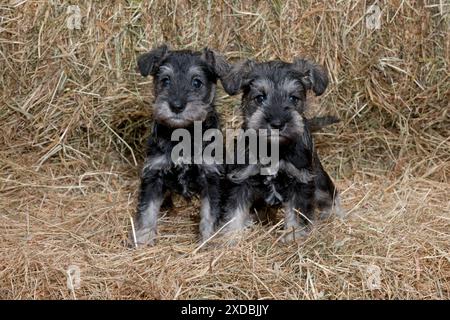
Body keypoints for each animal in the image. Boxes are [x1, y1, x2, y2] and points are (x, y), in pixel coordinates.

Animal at [130, 44, 229, 245]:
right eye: (165, 80)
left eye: (197, 82)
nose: (176, 106)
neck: (183, 133)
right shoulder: (154, 174)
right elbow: (147, 211)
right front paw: (144, 240)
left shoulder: (211, 177)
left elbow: (209, 214)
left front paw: (207, 242)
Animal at [220, 58, 342, 241]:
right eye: (260, 98)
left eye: (293, 98)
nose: (277, 123)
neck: (274, 149)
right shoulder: (241, 179)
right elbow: (234, 213)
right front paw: (230, 239)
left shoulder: (300, 180)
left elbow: (296, 215)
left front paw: (294, 237)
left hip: (319, 181)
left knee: (330, 196)